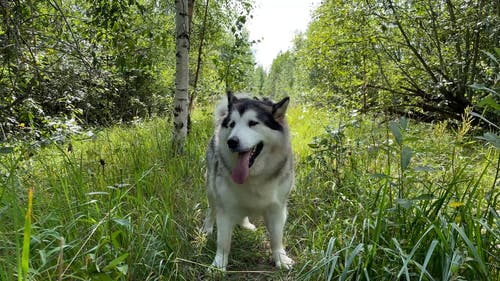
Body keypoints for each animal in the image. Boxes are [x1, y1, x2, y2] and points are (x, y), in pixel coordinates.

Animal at [202, 91, 294, 270]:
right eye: (232, 124)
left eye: (252, 123)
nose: (232, 142)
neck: (254, 176)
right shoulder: (225, 208)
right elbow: (223, 242)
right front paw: (219, 264)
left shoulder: (277, 209)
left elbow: (276, 238)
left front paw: (280, 258)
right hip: (211, 189)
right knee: (211, 209)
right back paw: (207, 227)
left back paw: (245, 224)